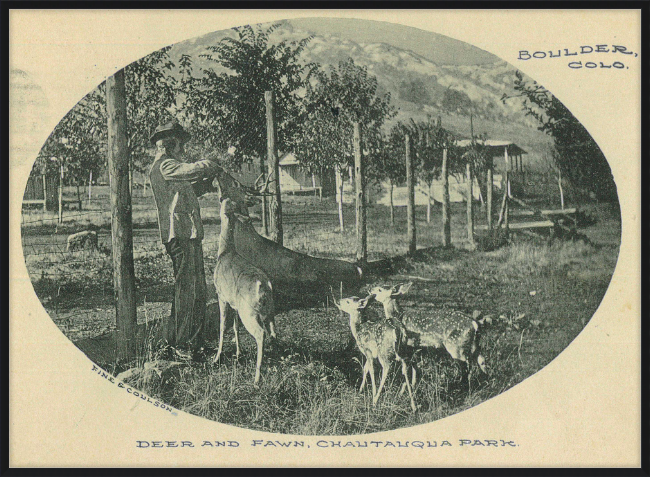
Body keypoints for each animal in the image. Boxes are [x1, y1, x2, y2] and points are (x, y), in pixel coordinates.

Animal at [211, 197, 274, 384]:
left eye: (225, 202)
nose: (221, 198)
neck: (225, 252)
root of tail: (263, 284)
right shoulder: (235, 304)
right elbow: (235, 326)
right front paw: (239, 353)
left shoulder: (221, 296)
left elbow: (223, 326)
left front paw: (217, 357)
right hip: (268, 309)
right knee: (273, 331)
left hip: (249, 312)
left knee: (261, 334)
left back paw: (257, 378)